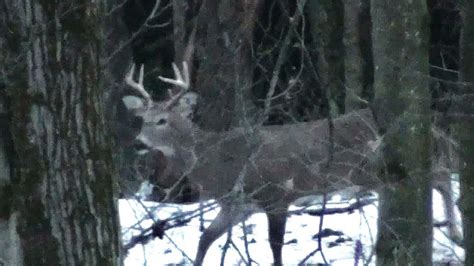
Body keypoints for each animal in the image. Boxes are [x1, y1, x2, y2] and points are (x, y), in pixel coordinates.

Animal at [119, 61, 462, 264]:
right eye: (142, 119)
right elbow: (205, 239)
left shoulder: (277, 194)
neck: (220, 162)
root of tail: (428, 124)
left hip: (373, 169)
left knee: (441, 173)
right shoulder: (238, 205)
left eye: (162, 120)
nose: (137, 143)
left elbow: (275, 245)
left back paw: (455, 230)